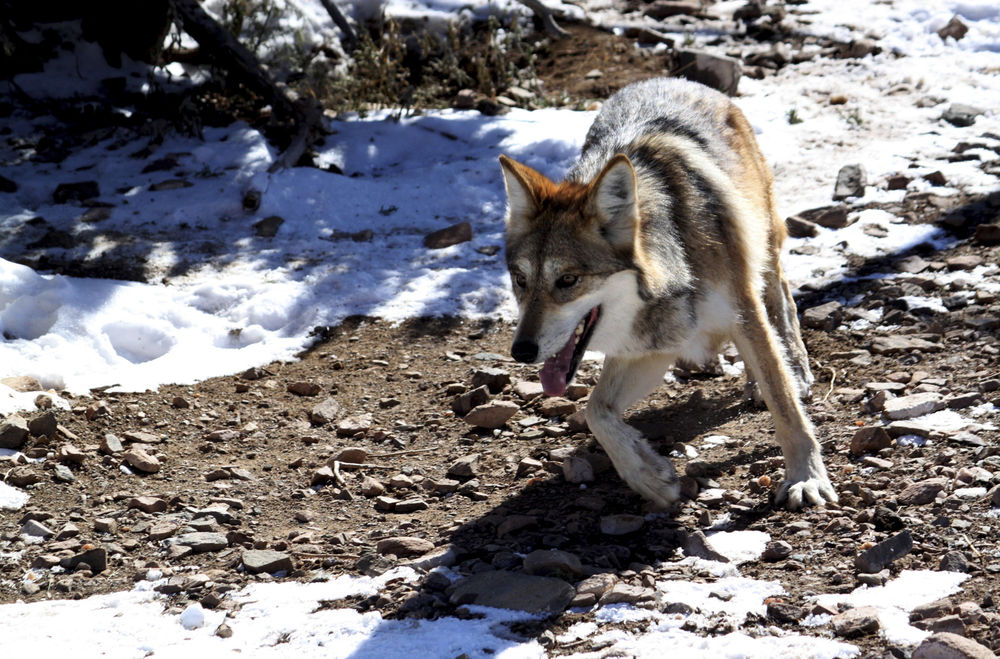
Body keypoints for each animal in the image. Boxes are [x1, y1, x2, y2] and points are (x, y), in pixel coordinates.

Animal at [498, 78, 836, 510]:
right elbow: (595, 411)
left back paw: (794, 369)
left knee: (781, 300)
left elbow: (786, 406)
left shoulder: (742, 310)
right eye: (521, 280)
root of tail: (672, 80)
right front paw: (649, 476)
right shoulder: (654, 344)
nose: (521, 351)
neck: (678, 260)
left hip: (762, 244)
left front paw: (805, 479)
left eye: (569, 280)